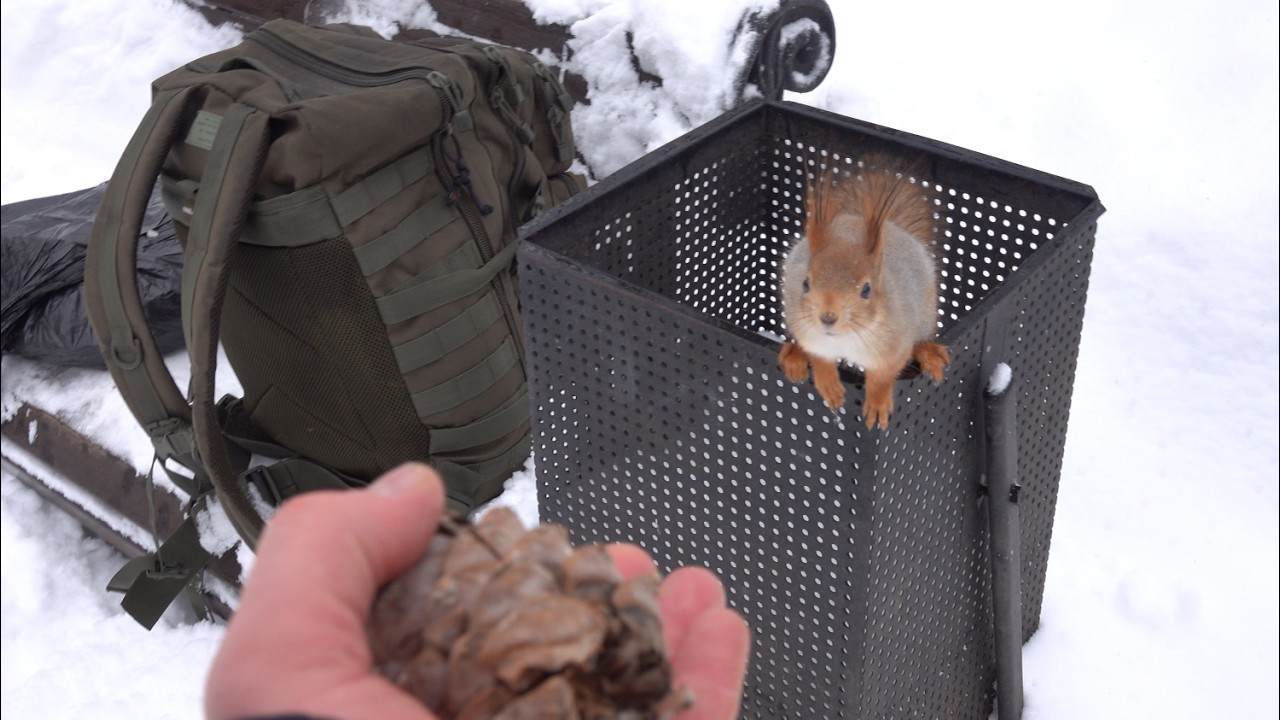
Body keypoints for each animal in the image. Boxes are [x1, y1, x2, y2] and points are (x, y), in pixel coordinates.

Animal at [778, 155, 950, 429]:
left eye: (867, 289)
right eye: (805, 284)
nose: (827, 318)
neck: (844, 339)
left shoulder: (894, 343)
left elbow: (883, 375)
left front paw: (877, 403)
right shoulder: (810, 335)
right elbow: (820, 360)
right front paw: (828, 384)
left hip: (925, 315)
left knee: (922, 339)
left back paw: (929, 354)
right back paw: (794, 355)